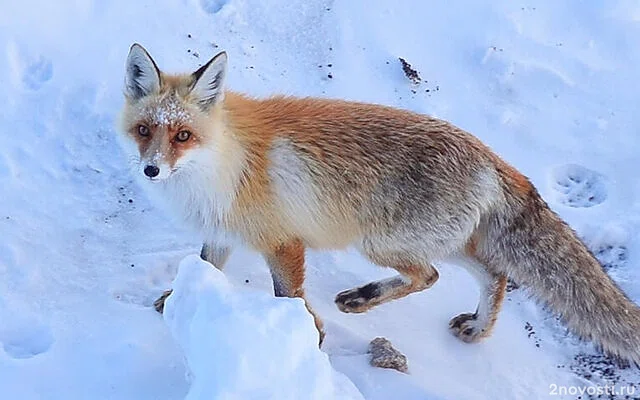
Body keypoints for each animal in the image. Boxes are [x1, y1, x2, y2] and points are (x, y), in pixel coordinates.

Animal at [117, 44, 640, 366]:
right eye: (145, 131)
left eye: (183, 136)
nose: (151, 170)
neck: (225, 164)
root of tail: (491, 157)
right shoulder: (221, 231)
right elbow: (204, 266)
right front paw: (176, 302)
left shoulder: (283, 242)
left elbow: (290, 296)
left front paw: (308, 336)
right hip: (443, 243)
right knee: (495, 276)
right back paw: (478, 330)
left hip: (382, 244)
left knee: (430, 276)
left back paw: (365, 298)